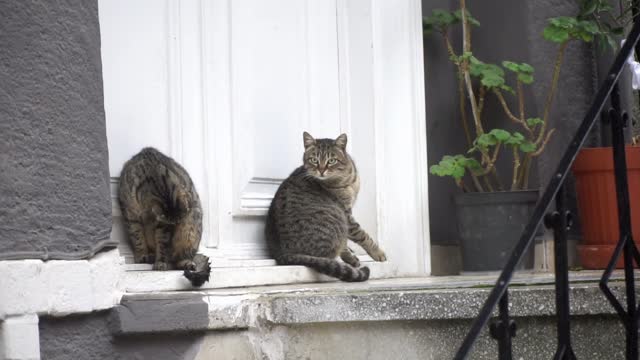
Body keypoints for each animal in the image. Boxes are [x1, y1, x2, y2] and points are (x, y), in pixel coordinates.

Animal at [119, 147, 211, 286]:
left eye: (173, 225)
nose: (175, 226)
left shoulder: (163, 226)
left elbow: (163, 244)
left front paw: (161, 262)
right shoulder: (131, 216)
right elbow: (137, 238)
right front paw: (142, 255)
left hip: (191, 228)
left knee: (179, 259)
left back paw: (185, 263)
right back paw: (152, 256)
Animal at [264, 132, 388, 282]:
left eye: (332, 160)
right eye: (314, 160)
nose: (322, 170)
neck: (347, 180)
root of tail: (282, 254)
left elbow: (346, 243)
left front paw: (351, 256)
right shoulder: (346, 214)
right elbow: (362, 235)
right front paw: (378, 253)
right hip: (336, 219)